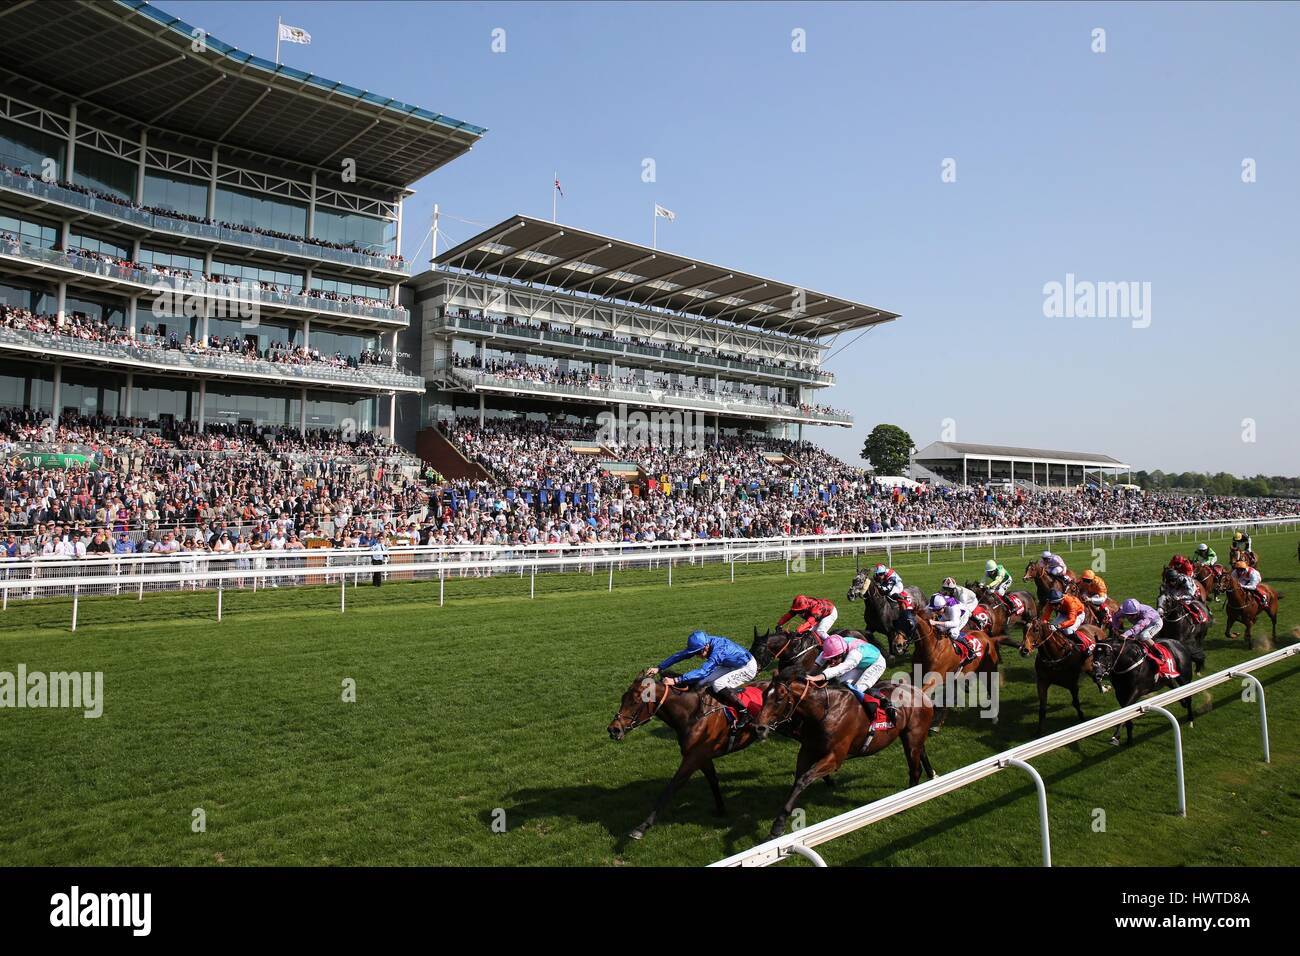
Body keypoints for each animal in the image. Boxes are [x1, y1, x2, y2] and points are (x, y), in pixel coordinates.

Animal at [754, 671, 935, 837]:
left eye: (779, 699)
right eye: (763, 695)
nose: (759, 727)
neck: (823, 711)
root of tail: (919, 691)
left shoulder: (835, 757)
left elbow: (803, 780)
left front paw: (777, 826)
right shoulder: (807, 750)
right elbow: (798, 780)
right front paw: (779, 823)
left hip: (912, 737)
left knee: (915, 770)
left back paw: (908, 799)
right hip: (911, 737)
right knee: (922, 753)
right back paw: (932, 775)